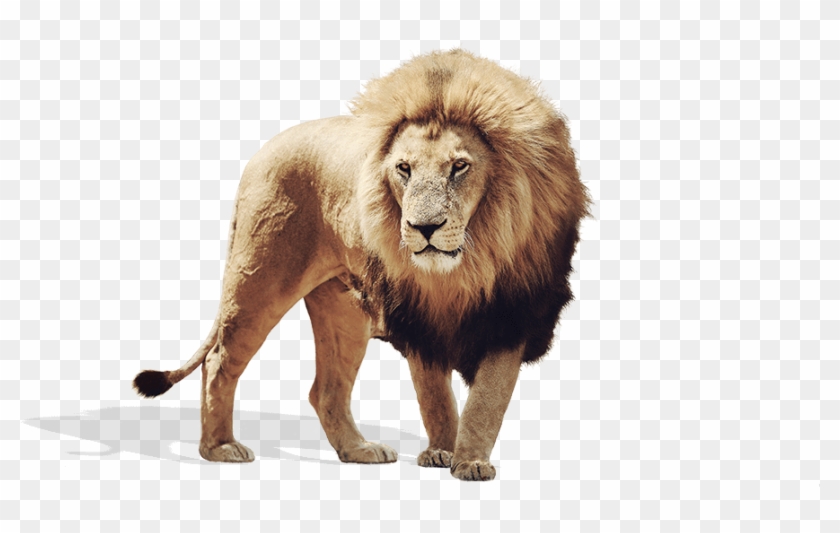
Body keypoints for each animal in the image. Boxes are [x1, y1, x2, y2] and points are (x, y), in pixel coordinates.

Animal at [133, 49, 589, 481]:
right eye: (404, 169)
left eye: (459, 166)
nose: (424, 228)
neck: (461, 268)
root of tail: (264, 150)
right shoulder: (417, 316)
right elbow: (435, 396)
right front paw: (442, 452)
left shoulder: (513, 311)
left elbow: (487, 400)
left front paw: (469, 460)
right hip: (258, 280)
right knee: (219, 361)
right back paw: (221, 447)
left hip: (343, 312)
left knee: (325, 390)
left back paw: (357, 450)